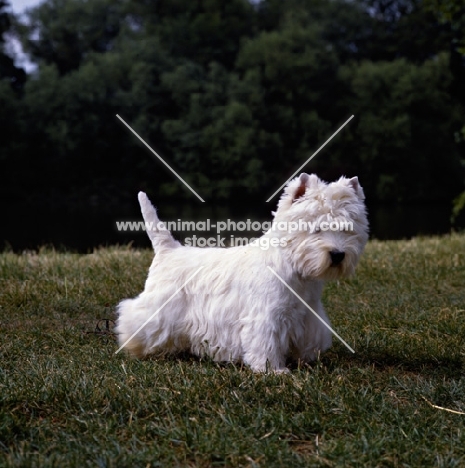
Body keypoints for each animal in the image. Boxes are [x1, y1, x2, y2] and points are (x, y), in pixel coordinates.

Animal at [115, 174, 366, 372]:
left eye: (347, 228)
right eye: (316, 228)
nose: (337, 255)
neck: (295, 269)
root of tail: (168, 249)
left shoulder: (308, 315)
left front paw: (306, 359)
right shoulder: (267, 316)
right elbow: (266, 344)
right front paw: (274, 371)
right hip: (159, 306)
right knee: (133, 316)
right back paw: (133, 347)